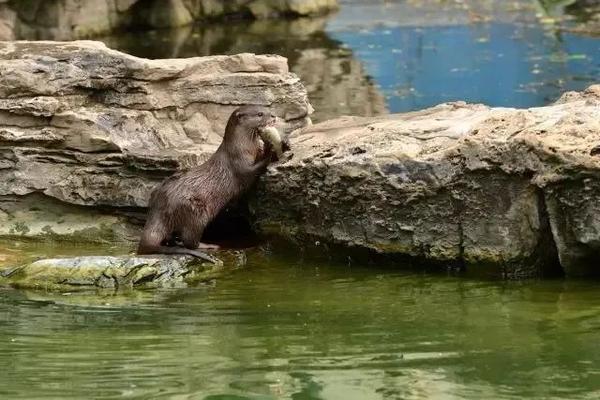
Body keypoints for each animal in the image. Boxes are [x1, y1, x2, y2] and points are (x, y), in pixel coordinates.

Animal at [138, 104, 276, 262]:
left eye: (267, 109)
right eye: (260, 114)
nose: (273, 116)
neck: (242, 147)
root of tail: (159, 206)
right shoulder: (239, 163)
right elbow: (254, 169)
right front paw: (271, 149)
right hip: (194, 211)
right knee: (189, 241)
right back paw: (207, 245)